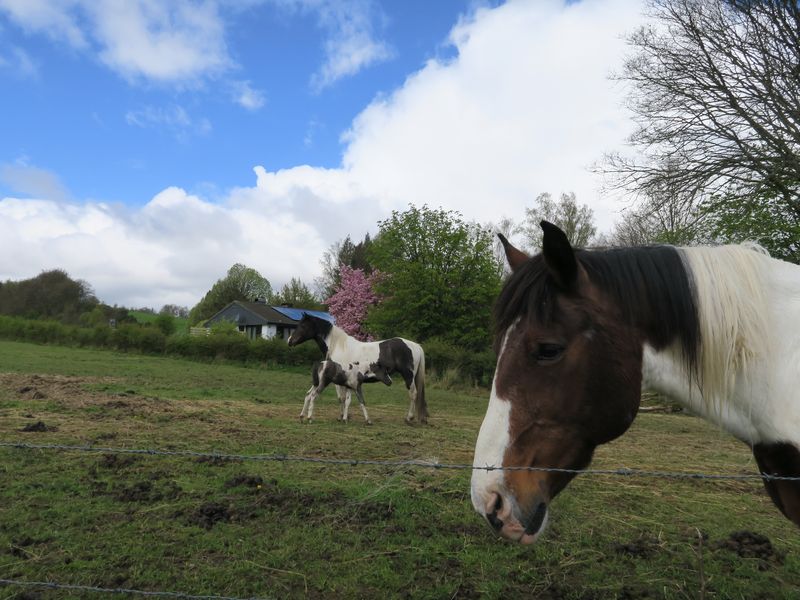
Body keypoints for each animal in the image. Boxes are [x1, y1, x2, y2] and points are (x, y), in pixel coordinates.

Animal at [284, 312, 428, 424]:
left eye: (303, 326)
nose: (289, 341)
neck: (339, 346)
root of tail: (416, 345)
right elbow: (342, 398)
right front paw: (343, 416)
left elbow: (341, 398)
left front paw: (342, 417)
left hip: (408, 376)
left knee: (413, 393)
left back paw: (409, 418)